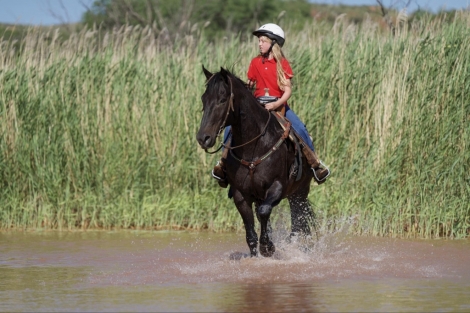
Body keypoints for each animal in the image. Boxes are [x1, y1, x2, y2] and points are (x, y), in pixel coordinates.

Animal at [195, 66, 316, 256]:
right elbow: (251, 233)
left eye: (222, 100)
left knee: (298, 221)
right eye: (203, 99)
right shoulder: (241, 194)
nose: (203, 138)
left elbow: (264, 211)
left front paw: (267, 247)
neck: (255, 146)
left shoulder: (277, 187)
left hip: (300, 192)